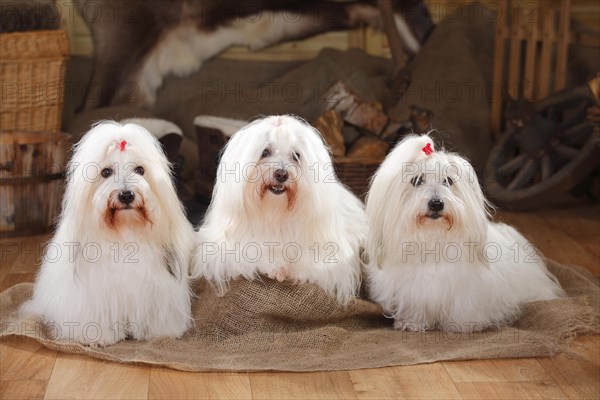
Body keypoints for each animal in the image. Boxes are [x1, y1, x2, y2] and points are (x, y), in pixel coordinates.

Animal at [21, 120, 193, 346]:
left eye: (140, 170)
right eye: (106, 172)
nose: (127, 195)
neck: (125, 233)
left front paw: (159, 332)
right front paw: (98, 337)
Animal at [195, 115, 368, 304]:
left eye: (296, 156)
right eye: (265, 152)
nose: (281, 174)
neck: (275, 212)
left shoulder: (334, 259)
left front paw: (297, 270)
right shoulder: (222, 251)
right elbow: (249, 252)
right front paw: (275, 266)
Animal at [364, 134, 564, 332]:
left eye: (448, 181)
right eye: (417, 180)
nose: (436, 203)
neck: (433, 239)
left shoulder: (467, 292)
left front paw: (462, 325)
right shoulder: (413, 290)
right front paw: (412, 322)